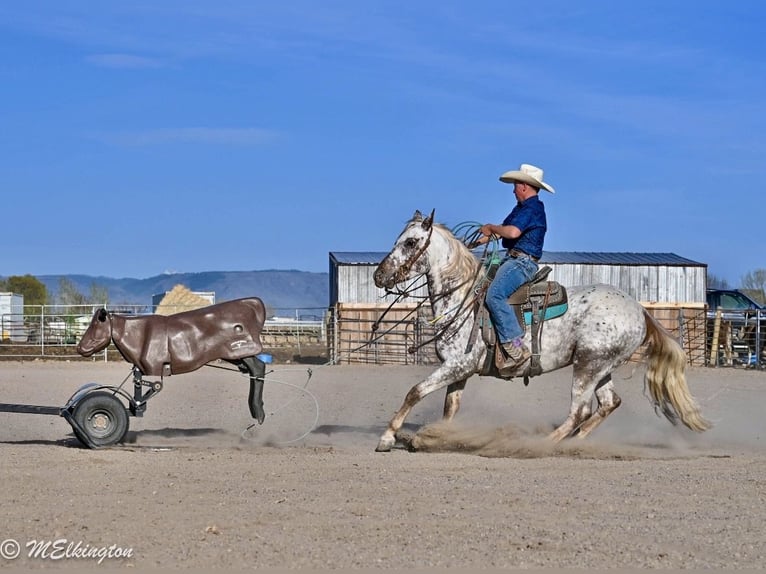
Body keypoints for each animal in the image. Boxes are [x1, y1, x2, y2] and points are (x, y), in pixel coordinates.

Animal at [76, 297, 268, 423]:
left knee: (259, 367)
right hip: (234, 356)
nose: (80, 347)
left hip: (240, 351)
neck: (135, 332)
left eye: (95, 325)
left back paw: (258, 412)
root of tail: (253, 303)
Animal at [371, 210, 711, 452]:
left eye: (410, 242)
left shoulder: (458, 365)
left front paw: (388, 438)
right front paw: (437, 437)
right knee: (608, 404)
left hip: (587, 365)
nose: (379, 276)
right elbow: (449, 408)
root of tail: (639, 310)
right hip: (601, 365)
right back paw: (575, 443)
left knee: (579, 411)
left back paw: (541, 444)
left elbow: (415, 391)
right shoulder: (460, 371)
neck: (462, 298)